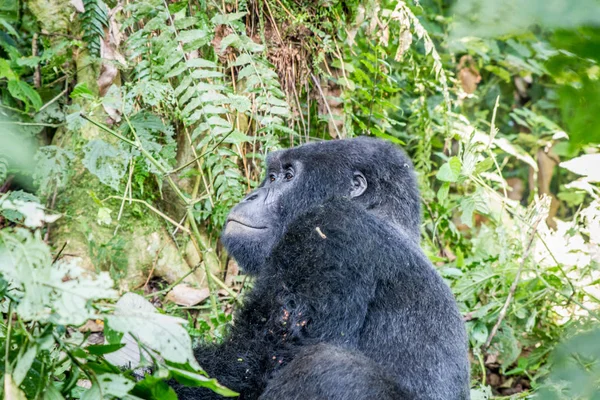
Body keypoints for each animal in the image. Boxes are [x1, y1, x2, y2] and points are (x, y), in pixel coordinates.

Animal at [172, 138, 468, 400]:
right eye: (272, 177)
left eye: (288, 176)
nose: (250, 196)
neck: (380, 210)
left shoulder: (331, 228)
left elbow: (260, 359)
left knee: (328, 368)